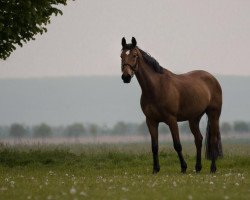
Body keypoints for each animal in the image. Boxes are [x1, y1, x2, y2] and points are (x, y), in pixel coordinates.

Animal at [119, 37, 223, 173]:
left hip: (213, 114)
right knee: (198, 139)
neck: (156, 87)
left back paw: (213, 168)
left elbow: (177, 145)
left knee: (213, 139)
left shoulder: (171, 120)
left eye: (134, 55)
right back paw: (198, 168)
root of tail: (213, 78)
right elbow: (154, 146)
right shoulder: (151, 121)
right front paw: (155, 169)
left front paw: (183, 167)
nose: (125, 77)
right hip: (194, 118)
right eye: (121, 56)